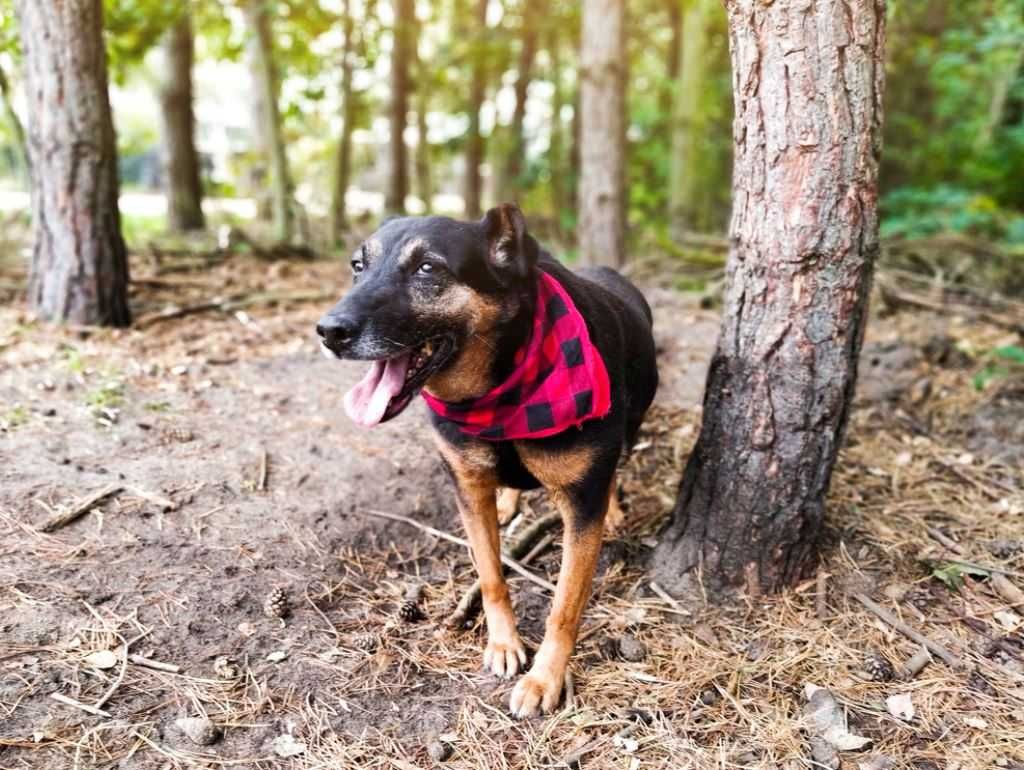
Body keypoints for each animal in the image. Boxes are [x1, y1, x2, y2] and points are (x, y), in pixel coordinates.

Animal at [315, 204, 659, 716]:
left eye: (428, 268)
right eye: (358, 266)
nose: (329, 331)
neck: (501, 391)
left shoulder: (581, 506)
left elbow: (565, 605)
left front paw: (544, 678)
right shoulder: (467, 487)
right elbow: (492, 576)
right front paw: (503, 644)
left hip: (632, 425)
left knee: (617, 465)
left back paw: (614, 507)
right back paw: (510, 501)